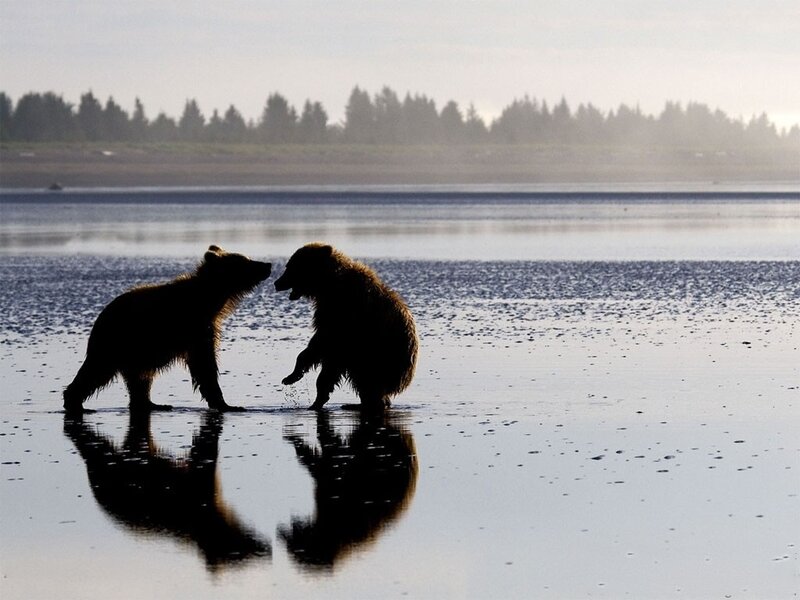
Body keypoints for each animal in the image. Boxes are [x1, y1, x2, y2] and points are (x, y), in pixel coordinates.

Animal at [63, 245, 271, 414]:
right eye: (245, 261)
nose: (267, 265)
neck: (210, 300)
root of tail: (99, 319)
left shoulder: (206, 327)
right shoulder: (194, 327)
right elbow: (204, 365)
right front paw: (227, 404)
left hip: (137, 351)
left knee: (140, 379)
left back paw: (151, 403)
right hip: (116, 342)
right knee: (98, 370)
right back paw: (75, 402)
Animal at [274, 242, 418, 411]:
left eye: (291, 267)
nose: (277, 283)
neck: (328, 285)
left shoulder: (344, 315)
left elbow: (323, 346)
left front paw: (295, 379)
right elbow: (319, 346)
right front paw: (293, 376)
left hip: (377, 358)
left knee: (366, 380)